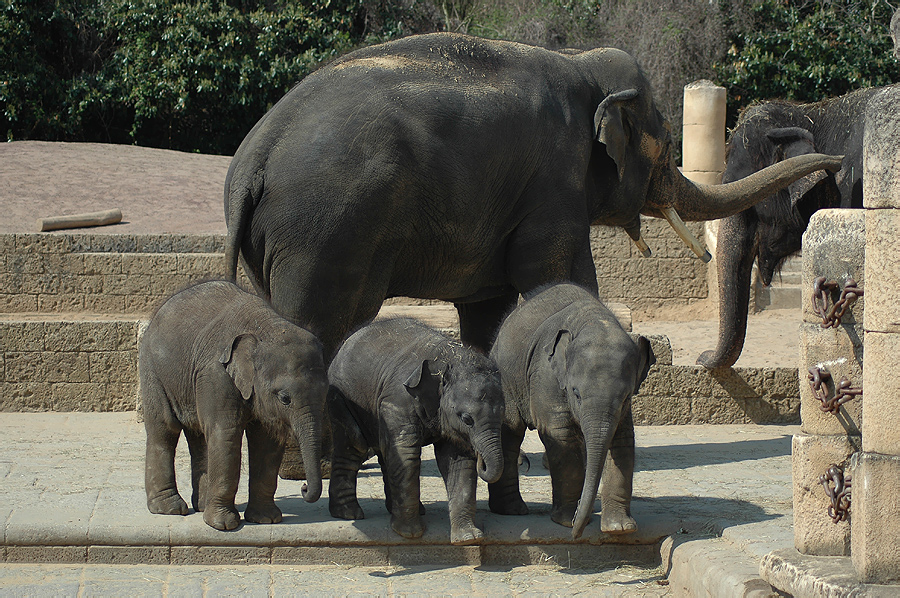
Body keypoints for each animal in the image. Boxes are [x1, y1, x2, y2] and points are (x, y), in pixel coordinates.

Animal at [143, 284, 330, 532]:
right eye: (285, 398)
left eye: (326, 393)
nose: (304, 488)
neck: (267, 326)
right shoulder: (215, 373)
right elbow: (226, 434)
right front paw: (224, 525)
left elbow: (267, 442)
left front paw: (266, 519)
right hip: (154, 371)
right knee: (164, 428)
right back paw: (171, 509)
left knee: (199, 435)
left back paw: (201, 506)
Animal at [223, 32, 836, 364]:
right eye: (664, 148)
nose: (835, 163)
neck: (582, 64)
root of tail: (252, 161)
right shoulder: (552, 182)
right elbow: (556, 275)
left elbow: (488, 307)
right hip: (324, 235)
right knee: (321, 322)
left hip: (275, 242)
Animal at [326, 322, 506, 548]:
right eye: (467, 419)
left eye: (503, 415)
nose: (481, 459)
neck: (450, 358)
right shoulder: (397, 401)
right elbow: (406, 456)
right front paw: (409, 534)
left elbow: (459, 463)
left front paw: (469, 538)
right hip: (342, 398)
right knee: (352, 446)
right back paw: (349, 514)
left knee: (384, 453)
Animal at [488, 284, 652, 540]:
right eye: (576, 393)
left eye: (627, 396)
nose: (577, 533)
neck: (595, 320)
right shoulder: (546, 374)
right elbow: (561, 436)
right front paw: (566, 521)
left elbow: (623, 440)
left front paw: (619, 528)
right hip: (505, 379)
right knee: (510, 431)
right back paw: (513, 511)